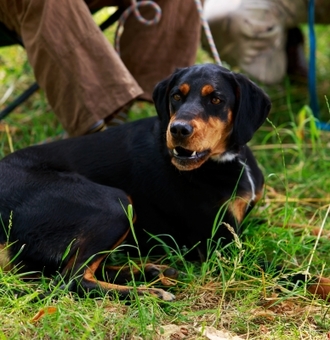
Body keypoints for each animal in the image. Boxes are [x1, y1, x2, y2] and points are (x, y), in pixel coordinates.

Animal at [0, 63, 270, 300]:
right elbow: (270, 262)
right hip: (115, 203)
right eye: (176, 96)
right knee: (72, 280)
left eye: (216, 99)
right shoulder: (219, 242)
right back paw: (150, 293)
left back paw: (151, 271)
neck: (229, 160)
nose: (178, 130)